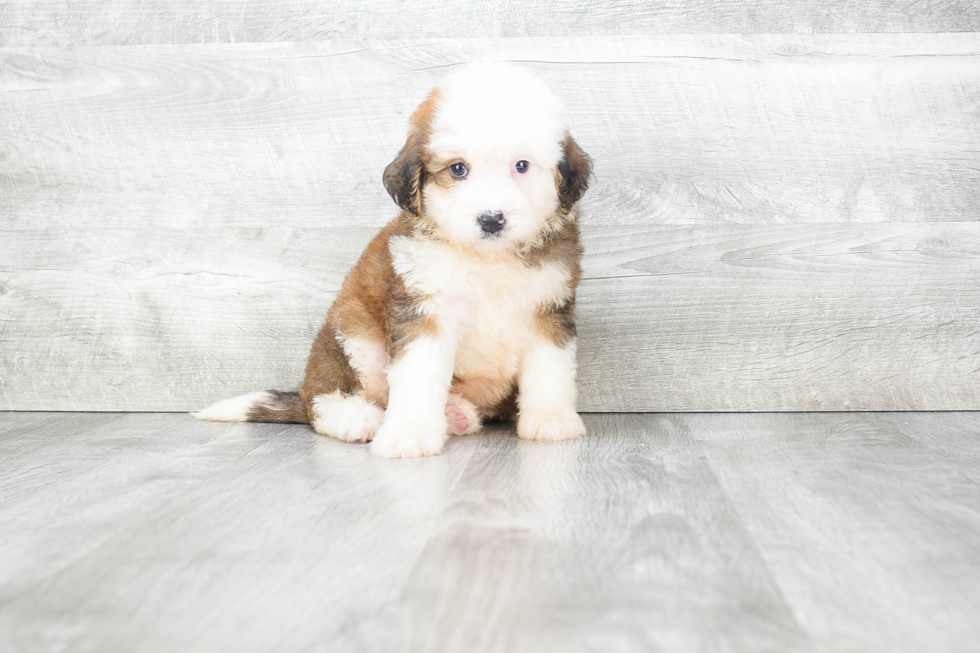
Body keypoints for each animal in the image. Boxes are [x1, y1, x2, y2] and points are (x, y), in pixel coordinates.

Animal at [191, 62, 588, 458]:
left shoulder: (549, 307)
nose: (491, 219)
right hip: (353, 334)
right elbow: (418, 376)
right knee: (326, 400)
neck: (486, 259)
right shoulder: (423, 309)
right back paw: (357, 419)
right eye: (458, 169)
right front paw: (410, 433)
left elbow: (550, 370)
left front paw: (551, 419)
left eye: (521, 166)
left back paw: (456, 413)